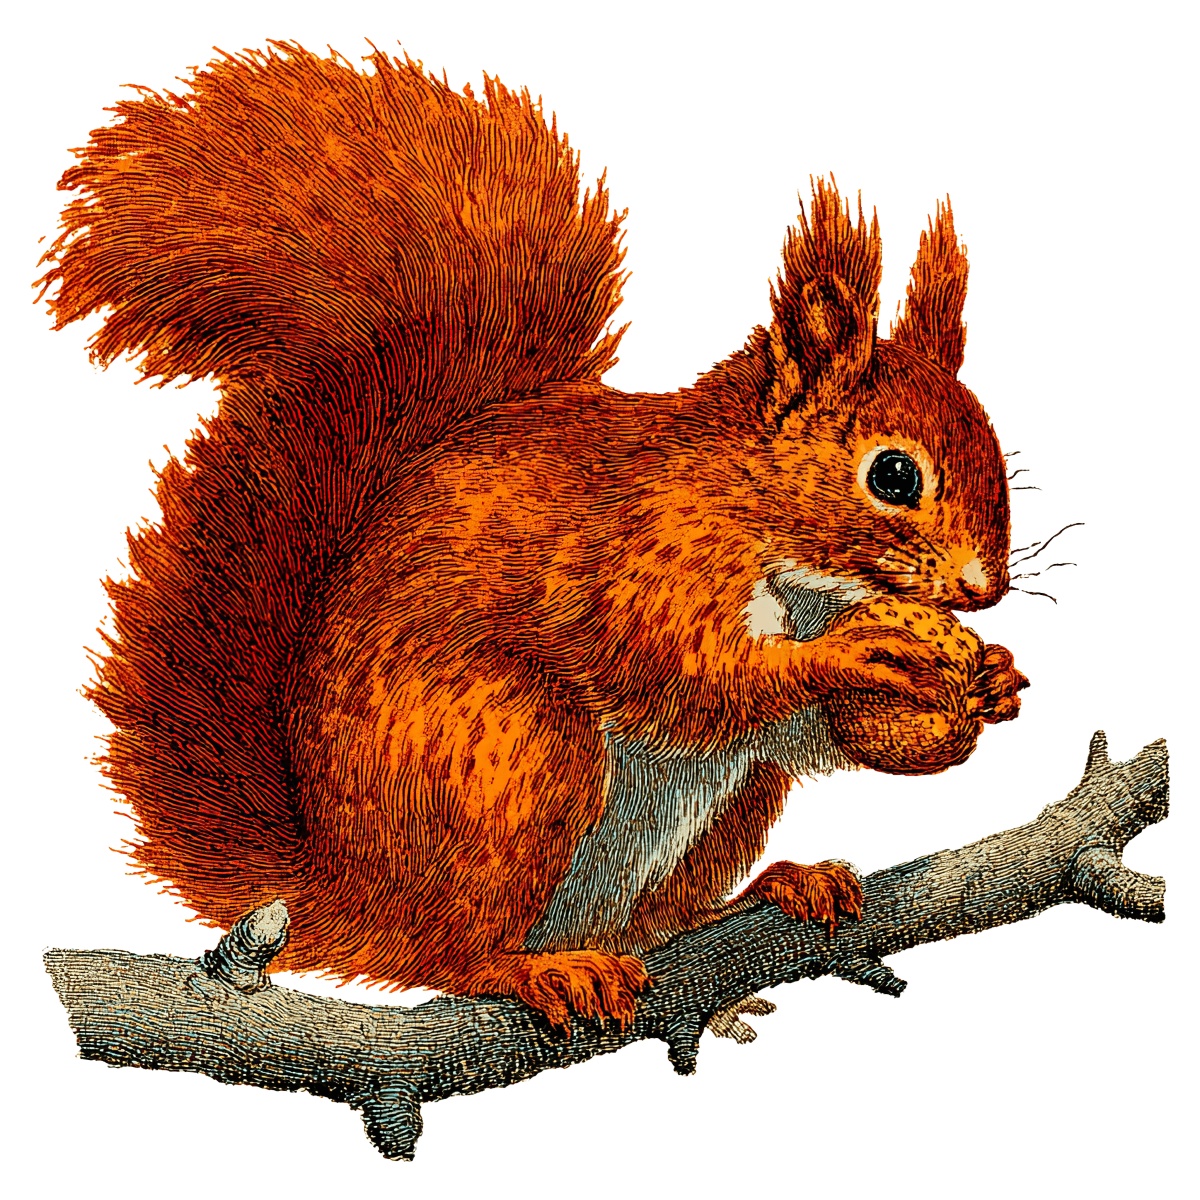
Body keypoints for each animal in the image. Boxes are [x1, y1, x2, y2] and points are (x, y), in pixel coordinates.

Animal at [40, 42, 1027, 1030]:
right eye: (893, 475)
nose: (985, 591)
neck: (796, 559)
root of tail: (342, 892)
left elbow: (818, 732)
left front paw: (990, 686)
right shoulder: (647, 554)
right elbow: (688, 673)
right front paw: (860, 650)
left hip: (721, 809)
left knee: (654, 915)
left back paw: (767, 891)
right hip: (520, 754)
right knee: (445, 952)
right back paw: (532, 969)